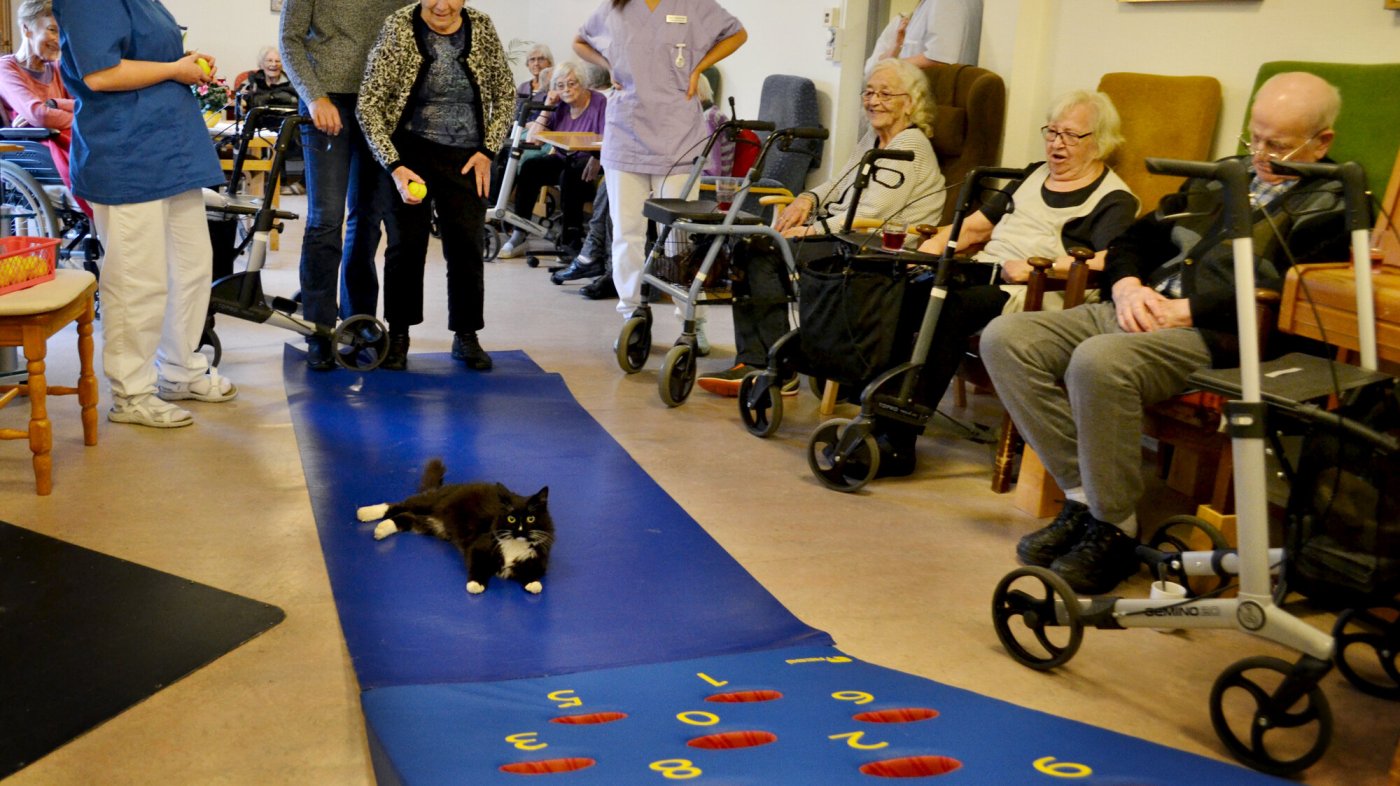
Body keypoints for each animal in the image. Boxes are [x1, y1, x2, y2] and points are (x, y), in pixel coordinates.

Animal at [355, 456, 551, 591]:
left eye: (530, 519)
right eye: (511, 518)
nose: (520, 530)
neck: (515, 546)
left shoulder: (539, 561)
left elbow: (534, 574)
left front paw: (533, 584)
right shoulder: (477, 547)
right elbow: (476, 565)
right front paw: (475, 584)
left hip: (430, 525)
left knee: (405, 516)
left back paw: (381, 529)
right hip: (427, 503)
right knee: (398, 505)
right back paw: (365, 512)